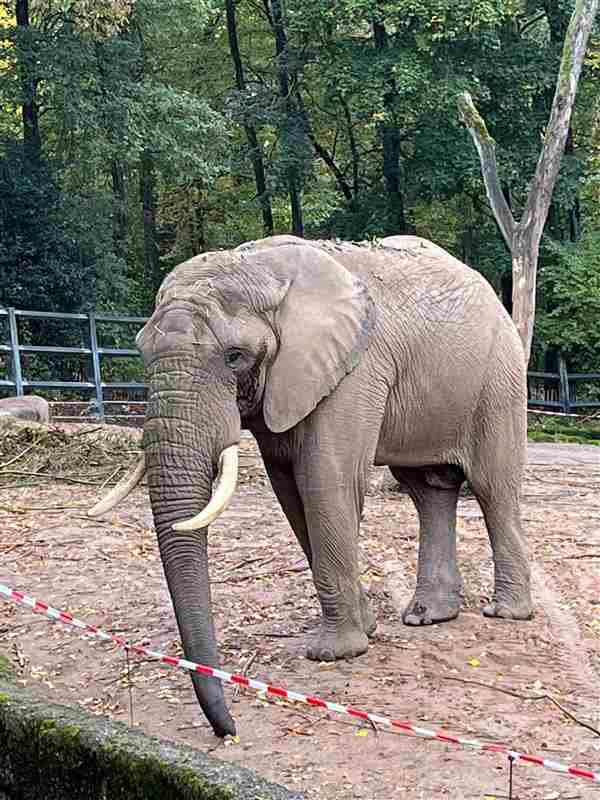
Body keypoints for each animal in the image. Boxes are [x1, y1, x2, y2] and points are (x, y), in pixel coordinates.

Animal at [88, 234, 532, 738]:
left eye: (234, 356)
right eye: (142, 352)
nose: (229, 730)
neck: (261, 268)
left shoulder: (355, 371)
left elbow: (325, 481)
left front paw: (334, 653)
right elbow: (289, 490)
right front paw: (368, 628)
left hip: (498, 382)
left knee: (493, 491)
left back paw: (506, 613)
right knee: (429, 491)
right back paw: (426, 617)